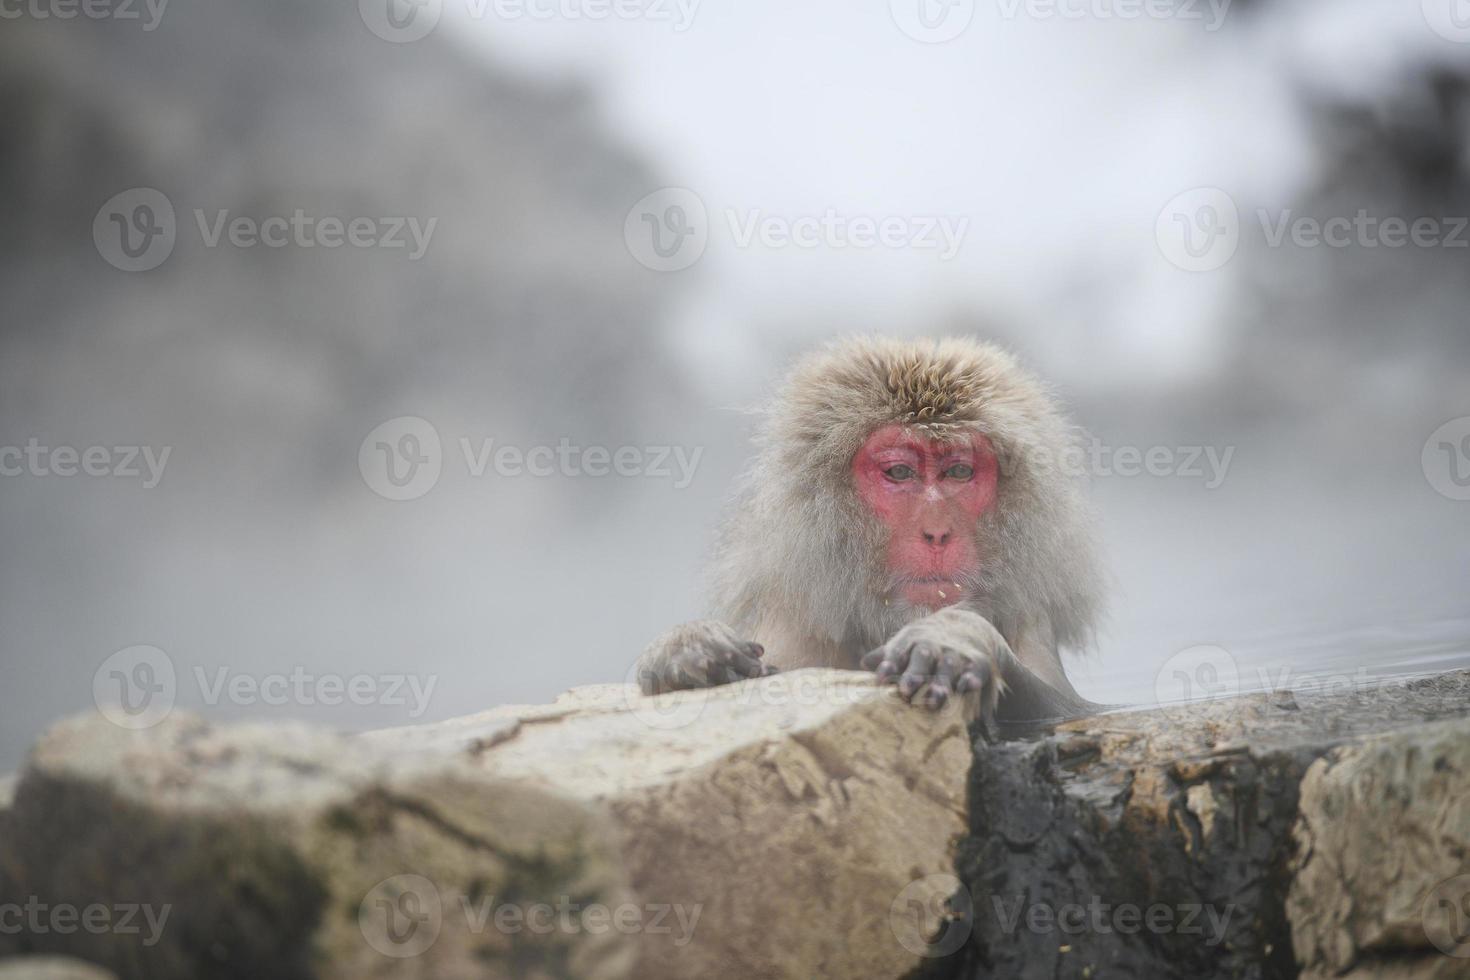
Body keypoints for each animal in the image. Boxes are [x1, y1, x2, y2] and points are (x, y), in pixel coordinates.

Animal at [635, 337, 1105, 728]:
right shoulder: (791, 630)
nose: (937, 532)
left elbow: (1077, 711)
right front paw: (686, 648)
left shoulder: (1031, 621)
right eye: (899, 472)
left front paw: (955, 639)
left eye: (958, 472)